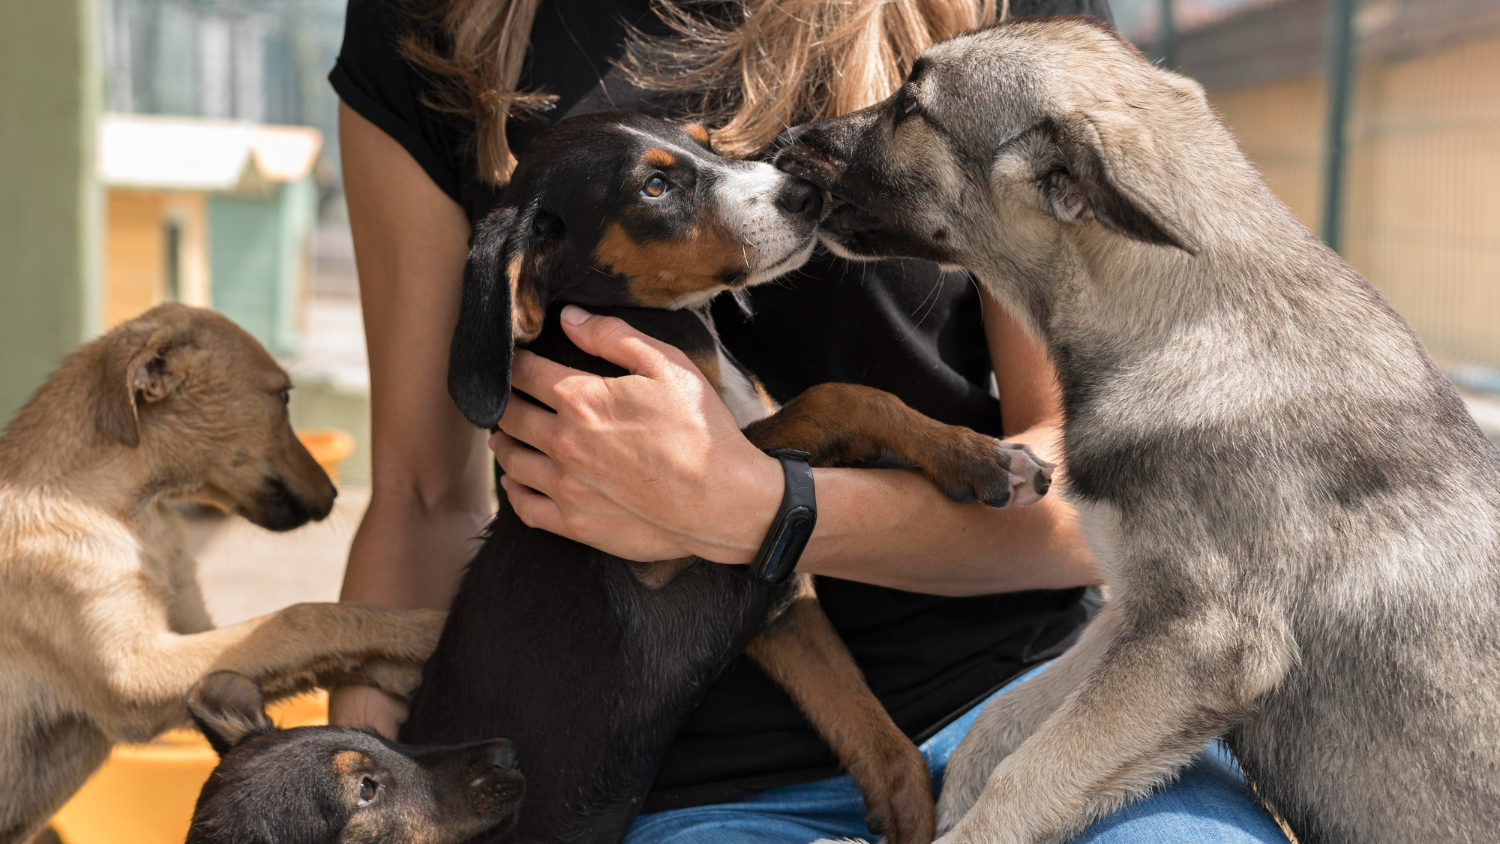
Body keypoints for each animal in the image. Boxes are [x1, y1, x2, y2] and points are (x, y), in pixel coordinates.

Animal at [0, 307, 444, 844]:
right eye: (284, 396)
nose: (336, 495)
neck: (133, 513)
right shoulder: (134, 673)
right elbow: (304, 618)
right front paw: (424, 627)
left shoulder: (195, 636)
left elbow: (311, 651)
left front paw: (404, 667)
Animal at [780, 16, 1500, 844]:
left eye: (910, 107)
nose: (786, 140)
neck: (1189, 321)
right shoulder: (1129, 614)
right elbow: (1002, 726)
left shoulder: (1194, 641)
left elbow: (1028, 772)